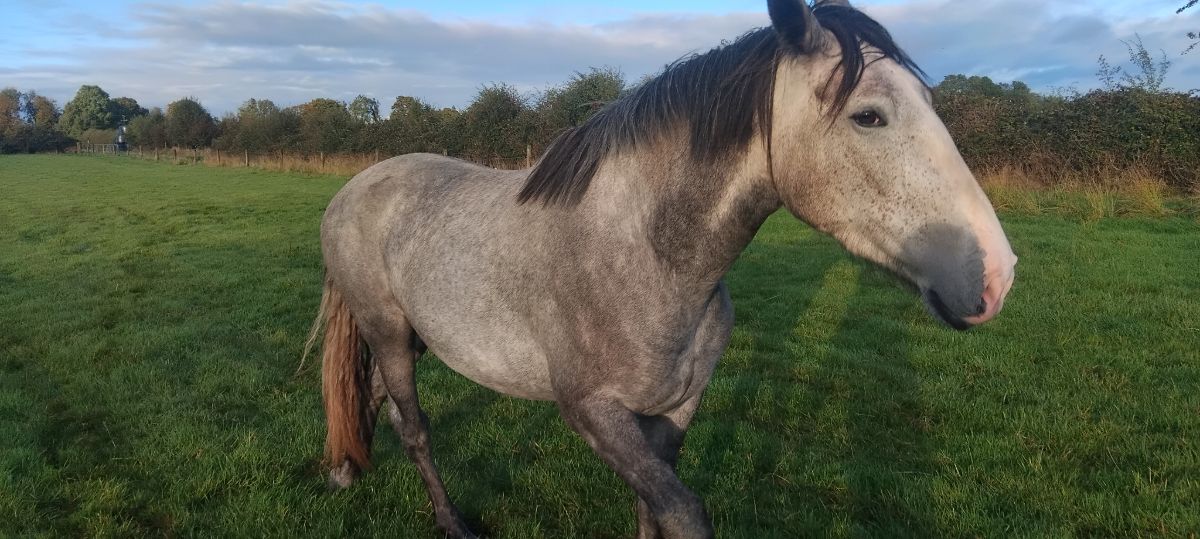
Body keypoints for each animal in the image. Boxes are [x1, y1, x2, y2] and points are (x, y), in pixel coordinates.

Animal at [308, 0, 1017, 537]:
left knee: (378, 400)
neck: (647, 259)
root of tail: (355, 189)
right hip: (389, 333)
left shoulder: (675, 411)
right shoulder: (594, 413)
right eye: (868, 115)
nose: (996, 275)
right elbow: (682, 512)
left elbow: (653, 511)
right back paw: (450, 521)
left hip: (417, 337)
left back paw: (347, 468)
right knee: (415, 428)